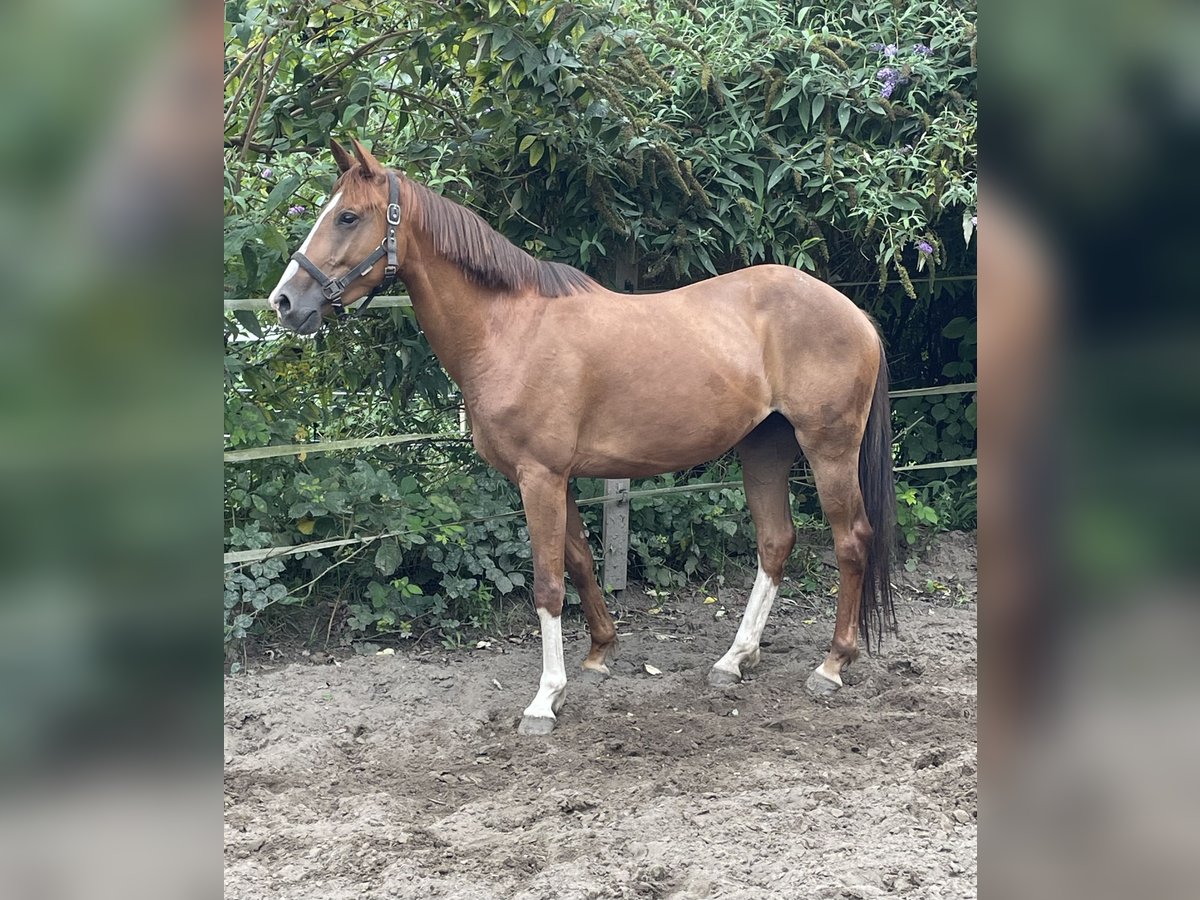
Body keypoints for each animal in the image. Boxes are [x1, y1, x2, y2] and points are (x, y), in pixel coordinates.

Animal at [272, 139, 892, 734]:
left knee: (851, 540)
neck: (509, 330)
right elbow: (579, 562)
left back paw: (832, 665)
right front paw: (599, 654)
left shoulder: (539, 477)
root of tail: (855, 313)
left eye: (348, 216)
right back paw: (735, 659)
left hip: (829, 450)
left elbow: (548, 583)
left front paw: (545, 699)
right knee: (775, 542)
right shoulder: (559, 479)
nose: (284, 302)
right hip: (764, 448)